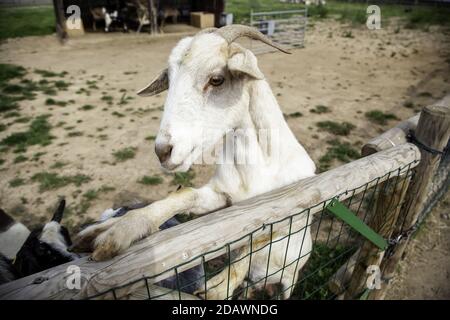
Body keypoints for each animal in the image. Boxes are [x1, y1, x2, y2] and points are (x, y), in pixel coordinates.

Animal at [72, 25, 314, 300]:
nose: (163, 151)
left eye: (217, 79)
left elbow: (258, 239)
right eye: (169, 80)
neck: (259, 167)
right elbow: (185, 194)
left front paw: (216, 288)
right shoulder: (223, 198)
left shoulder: (295, 211)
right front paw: (115, 231)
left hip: (289, 278)